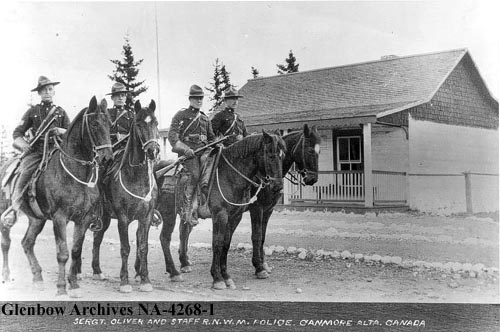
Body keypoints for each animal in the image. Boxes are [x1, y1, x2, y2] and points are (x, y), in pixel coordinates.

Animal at [0, 97, 112, 296]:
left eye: (109, 124)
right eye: (95, 124)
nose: (108, 159)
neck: (76, 175)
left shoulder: (83, 219)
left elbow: (75, 251)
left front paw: (74, 285)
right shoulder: (60, 218)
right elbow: (63, 253)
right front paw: (61, 288)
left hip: (36, 219)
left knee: (27, 243)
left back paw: (37, 278)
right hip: (6, 211)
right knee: (6, 242)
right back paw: (6, 275)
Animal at [90, 100, 159, 292]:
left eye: (156, 123)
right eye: (139, 124)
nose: (153, 151)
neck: (136, 177)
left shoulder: (146, 217)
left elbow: (143, 247)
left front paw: (145, 280)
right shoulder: (123, 218)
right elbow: (125, 248)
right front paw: (124, 281)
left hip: (105, 218)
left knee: (97, 239)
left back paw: (97, 270)